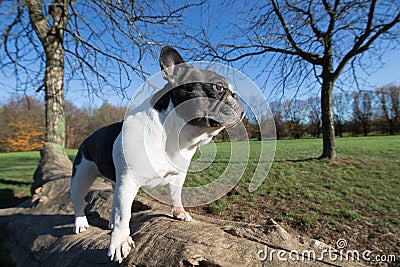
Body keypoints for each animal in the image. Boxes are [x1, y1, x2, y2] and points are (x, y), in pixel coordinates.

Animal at [70, 46, 244, 264]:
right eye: (218, 87)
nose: (236, 96)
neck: (175, 135)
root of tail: (89, 137)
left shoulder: (178, 175)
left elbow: (175, 195)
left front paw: (179, 212)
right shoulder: (128, 181)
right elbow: (123, 213)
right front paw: (120, 241)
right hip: (81, 175)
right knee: (79, 200)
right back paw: (80, 223)